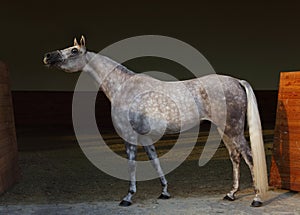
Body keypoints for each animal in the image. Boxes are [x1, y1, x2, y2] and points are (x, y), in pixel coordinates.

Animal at [43, 36, 268, 207]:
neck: (123, 86)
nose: (47, 56)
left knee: (249, 157)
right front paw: (165, 192)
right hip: (225, 130)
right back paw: (231, 194)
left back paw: (256, 198)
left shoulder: (129, 136)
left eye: (73, 51)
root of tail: (237, 81)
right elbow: (155, 161)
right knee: (235, 157)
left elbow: (132, 165)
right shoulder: (145, 137)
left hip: (233, 129)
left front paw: (128, 197)